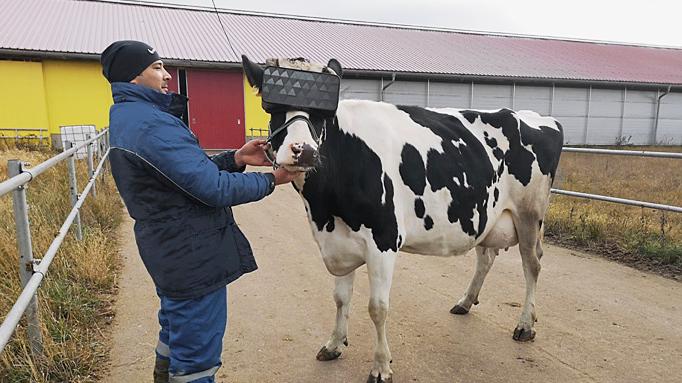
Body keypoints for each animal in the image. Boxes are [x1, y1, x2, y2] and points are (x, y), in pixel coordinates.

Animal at [242, 54, 560, 383]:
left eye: (322, 115)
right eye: (273, 109)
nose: (303, 150)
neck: (324, 209)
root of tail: (538, 117)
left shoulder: (383, 240)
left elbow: (378, 308)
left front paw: (381, 367)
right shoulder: (337, 242)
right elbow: (341, 298)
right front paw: (334, 344)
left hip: (529, 214)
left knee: (532, 264)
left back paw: (525, 325)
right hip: (487, 215)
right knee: (486, 257)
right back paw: (465, 302)